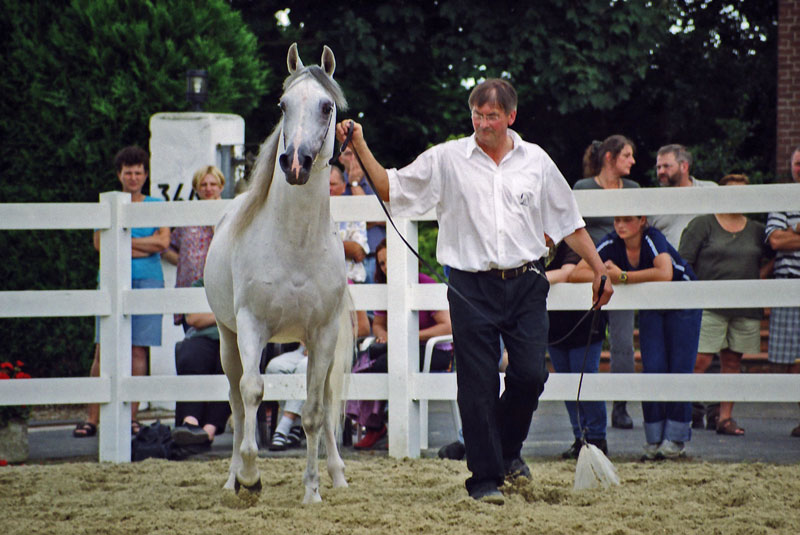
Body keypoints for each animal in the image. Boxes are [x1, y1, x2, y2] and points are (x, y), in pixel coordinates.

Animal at [206, 44, 354, 504]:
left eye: (327, 106)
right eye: (283, 104)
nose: (295, 164)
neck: (296, 242)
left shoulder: (323, 333)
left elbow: (314, 411)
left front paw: (313, 492)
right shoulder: (252, 326)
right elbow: (254, 392)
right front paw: (251, 477)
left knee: (326, 397)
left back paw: (338, 475)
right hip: (227, 339)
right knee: (237, 402)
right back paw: (232, 479)